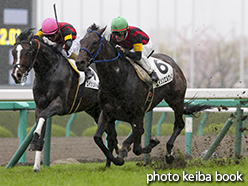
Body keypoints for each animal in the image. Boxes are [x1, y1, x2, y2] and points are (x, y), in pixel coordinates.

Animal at [11, 29, 101, 171]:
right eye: (13, 52)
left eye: (28, 52)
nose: (17, 75)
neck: (49, 71)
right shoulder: (40, 106)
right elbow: (41, 122)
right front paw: (36, 166)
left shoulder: (59, 105)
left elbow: (42, 118)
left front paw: (34, 138)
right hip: (94, 109)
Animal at [76, 24, 211, 167]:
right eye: (81, 41)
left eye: (95, 42)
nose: (80, 62)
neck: (117, 80)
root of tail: (173, 63)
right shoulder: (107, 113)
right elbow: (99, 138)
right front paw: (117, 159)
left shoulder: (137, 114)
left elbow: (135, 140)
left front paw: (144, 145)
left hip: (176, 100)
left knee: (179, 124)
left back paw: (169, 154)